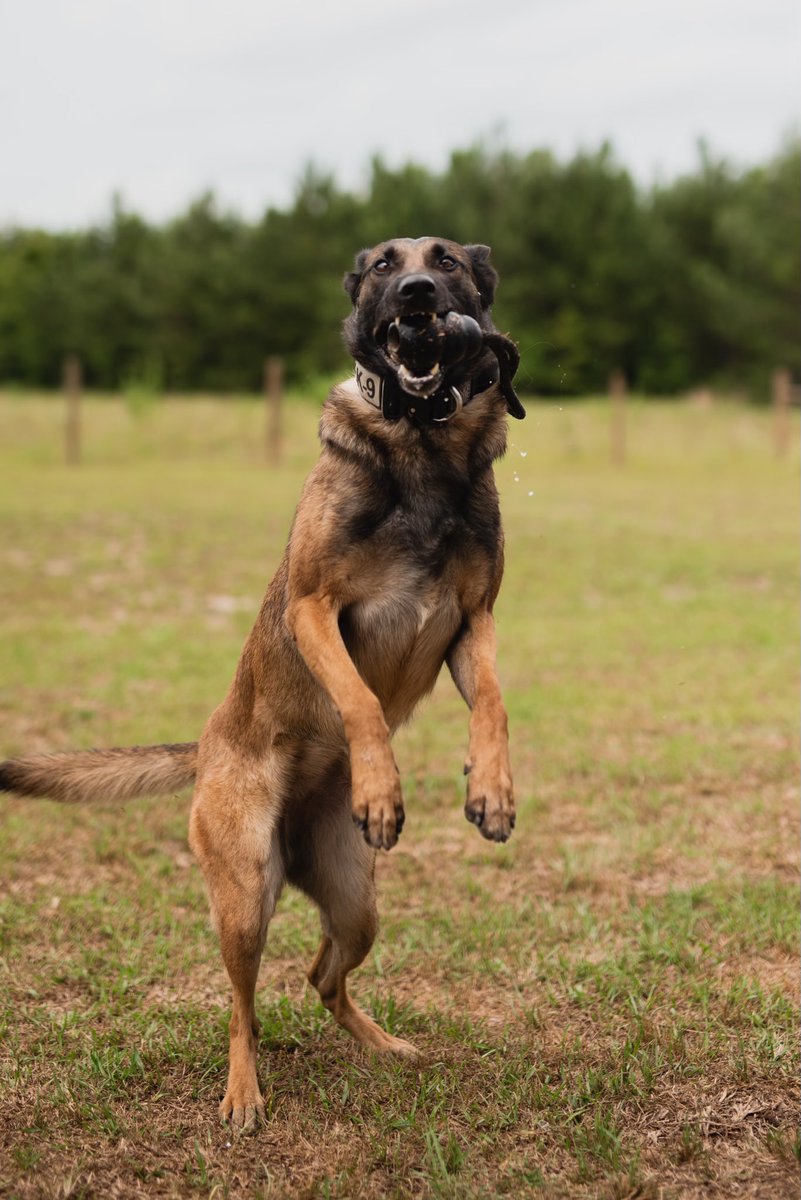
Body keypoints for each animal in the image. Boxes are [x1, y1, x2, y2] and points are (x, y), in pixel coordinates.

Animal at [1, 241, 525, 1123]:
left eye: (449, 261)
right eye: (383, 265)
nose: (416, 294)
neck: (417, 445)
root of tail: (207, 747)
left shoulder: (473, 622)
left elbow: (492, 702)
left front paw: (489, 788)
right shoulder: (314, 609)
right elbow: (360, 701)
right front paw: (380, 787)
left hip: (355, 903)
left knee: (321, 976)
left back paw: (380, 1043)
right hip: (246, 894)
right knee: (241, 1008)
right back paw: (242, 1092)